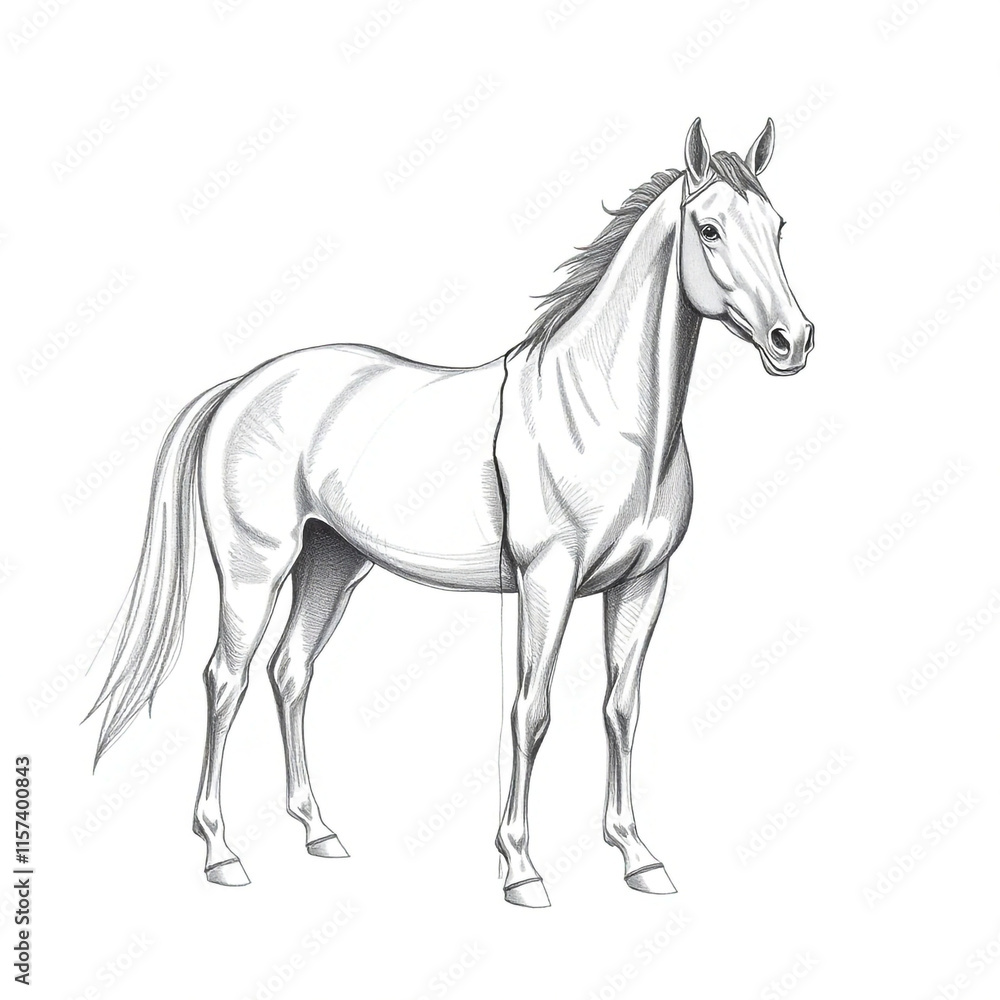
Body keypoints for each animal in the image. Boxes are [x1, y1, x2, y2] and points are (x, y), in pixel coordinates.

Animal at [87, 118, 813, 907]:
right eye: (708, 228)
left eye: (777, 226)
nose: (793, 341)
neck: (604, 412)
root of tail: (240, 388)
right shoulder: (547, 582)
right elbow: (531, 710)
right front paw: (520, 868)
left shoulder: (644, 583)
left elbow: (621, 708)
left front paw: (637, 857)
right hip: (256, 573)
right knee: (226, 680)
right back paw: (221, 852)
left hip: (331, 565)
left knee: (290, 673)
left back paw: (318, 831)